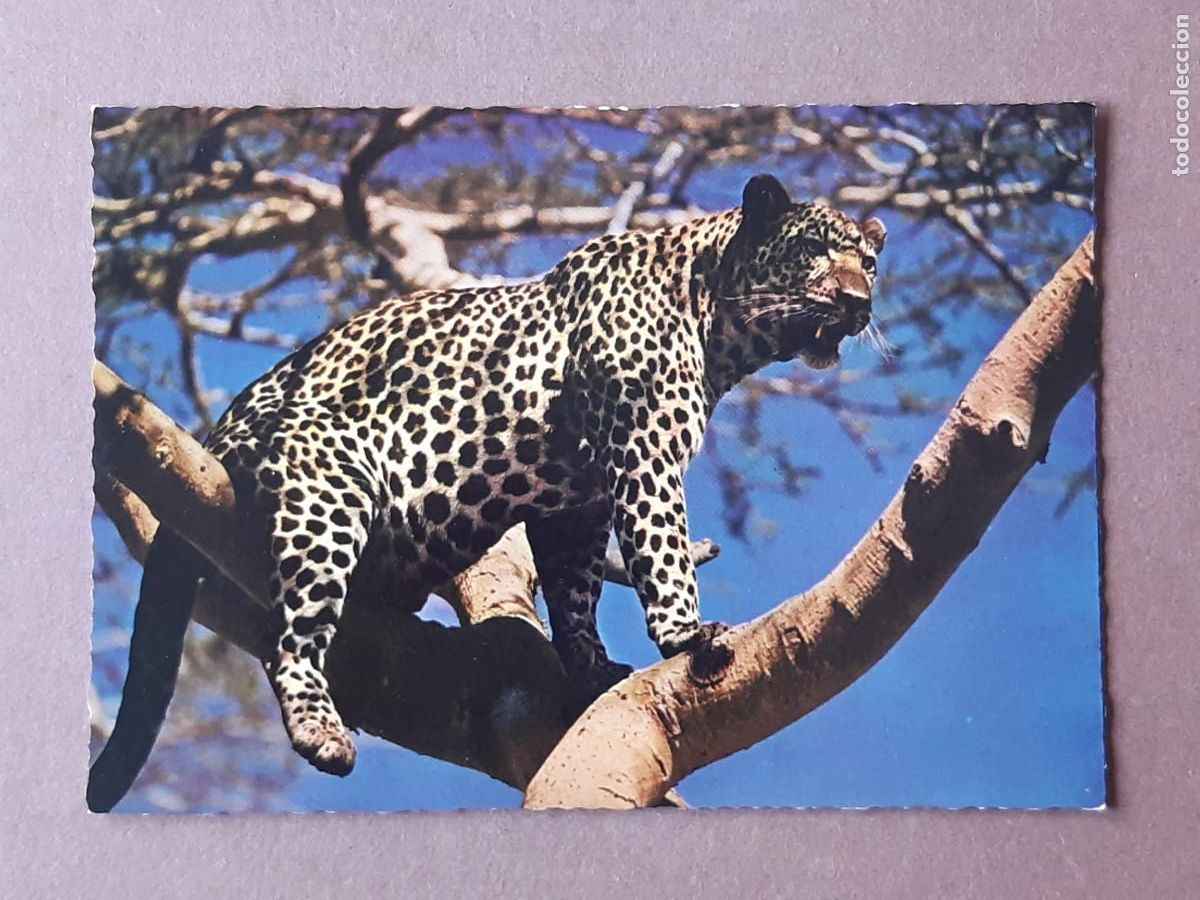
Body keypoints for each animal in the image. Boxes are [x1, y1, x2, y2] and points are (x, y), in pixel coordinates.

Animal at [87, 173, 885, 811]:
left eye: (869, 262)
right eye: (815, 249)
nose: (857, 301)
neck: (715, 321)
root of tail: (217, 434)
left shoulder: (578, 503)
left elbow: (575, 591)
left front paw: (589, 667)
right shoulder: (644, 449)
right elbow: (660, 547)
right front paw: (687, 635)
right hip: (329, 486)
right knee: (294, 636)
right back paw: (321, 731)